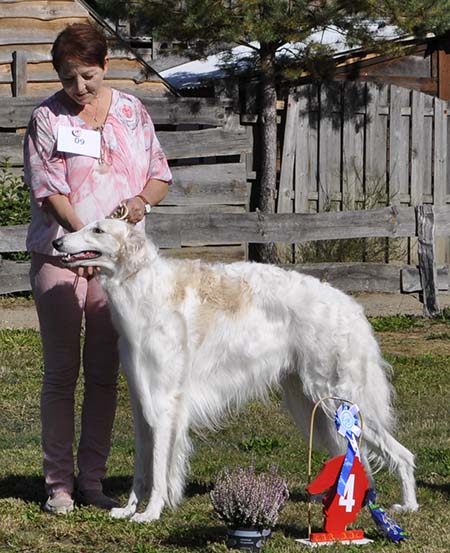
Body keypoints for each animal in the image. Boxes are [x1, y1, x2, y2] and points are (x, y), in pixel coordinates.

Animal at [53, 218, 418, 523]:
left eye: (98, 229)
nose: (57, 243)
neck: (144, 288)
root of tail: (352, 307)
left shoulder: (165, 402)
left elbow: (158, 470)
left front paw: (150, 513)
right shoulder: (143, 401)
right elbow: (143, 468)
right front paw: (129, 509)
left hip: (340, 398)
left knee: (403, 454)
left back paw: (408, 504)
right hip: (309, 401)